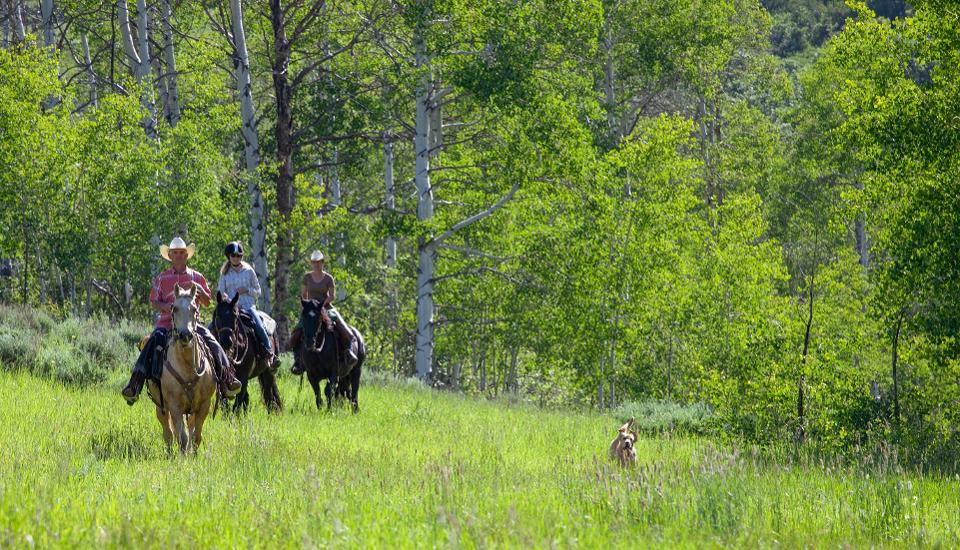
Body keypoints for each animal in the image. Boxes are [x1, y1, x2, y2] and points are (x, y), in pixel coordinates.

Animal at [145, 286, 217, 454]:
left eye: (194, 308)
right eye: (174, 308)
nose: (185, 335)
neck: (187, 367)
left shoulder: (204, 405)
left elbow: (196, 435)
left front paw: (194, 455)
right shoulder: (175, 406)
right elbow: (181, 437)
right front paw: (182, 456)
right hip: (160, 405)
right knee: (168, 431)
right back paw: (170, 452)